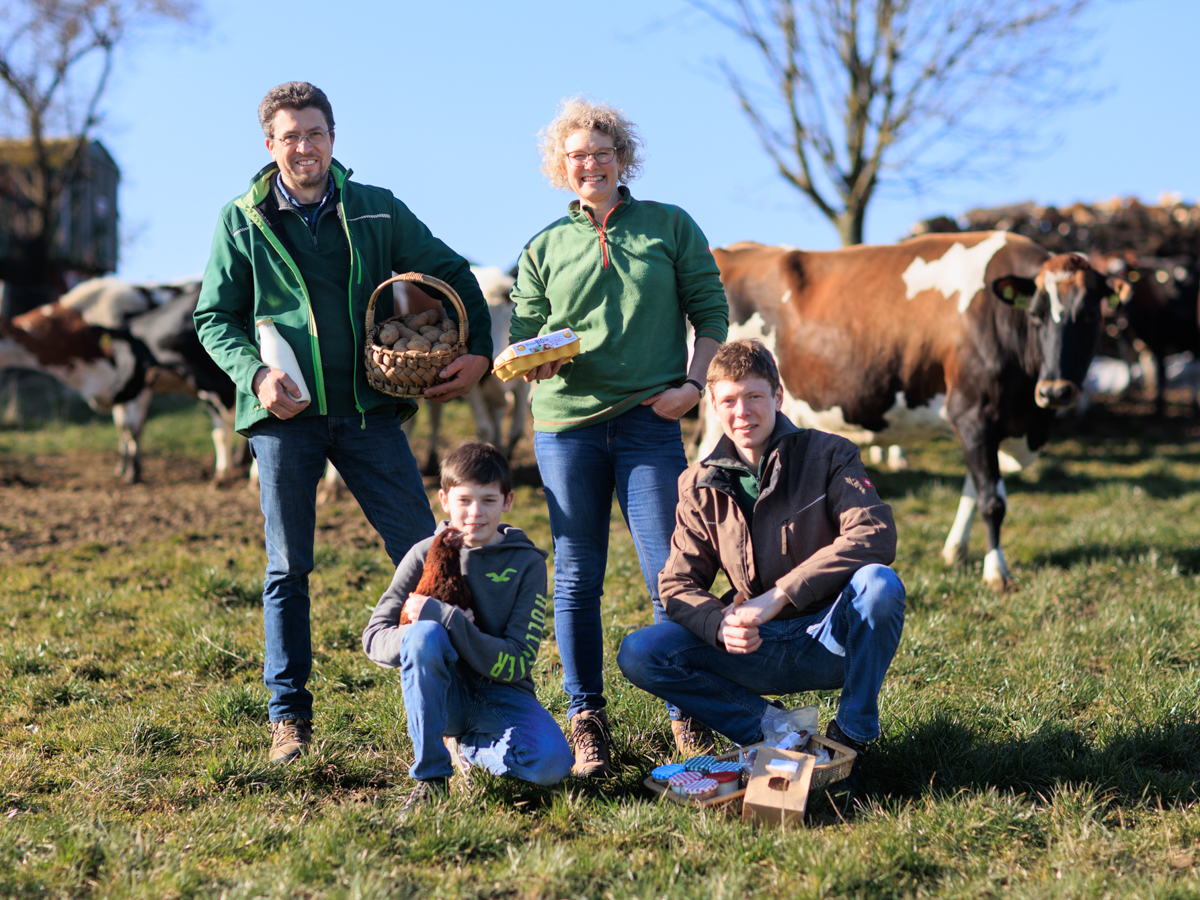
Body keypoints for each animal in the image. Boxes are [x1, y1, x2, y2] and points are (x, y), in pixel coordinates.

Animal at [705, 232, 1128, 592]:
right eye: (1037, 315)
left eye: (1090, 316)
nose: (1055, 390)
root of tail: (735, 250)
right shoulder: (973, 414)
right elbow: (992, 500)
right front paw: (996, 571)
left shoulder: (989, 424)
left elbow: (976, 487)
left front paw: (956, 550)